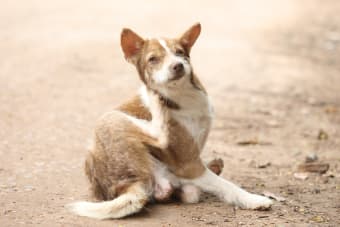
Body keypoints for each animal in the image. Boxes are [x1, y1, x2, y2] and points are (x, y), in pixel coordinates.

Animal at [67, 23, 274, 220]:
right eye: (153, 59)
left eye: (180, 52)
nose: (178, 65)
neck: (181, 95)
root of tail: (128, 185)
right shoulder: (189, 164)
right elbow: (227, 186)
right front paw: (253, 199)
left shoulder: (190, 165)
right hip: (110, 118)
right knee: (160, 136)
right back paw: (154, 101)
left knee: (184, 192)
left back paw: (212, 166)